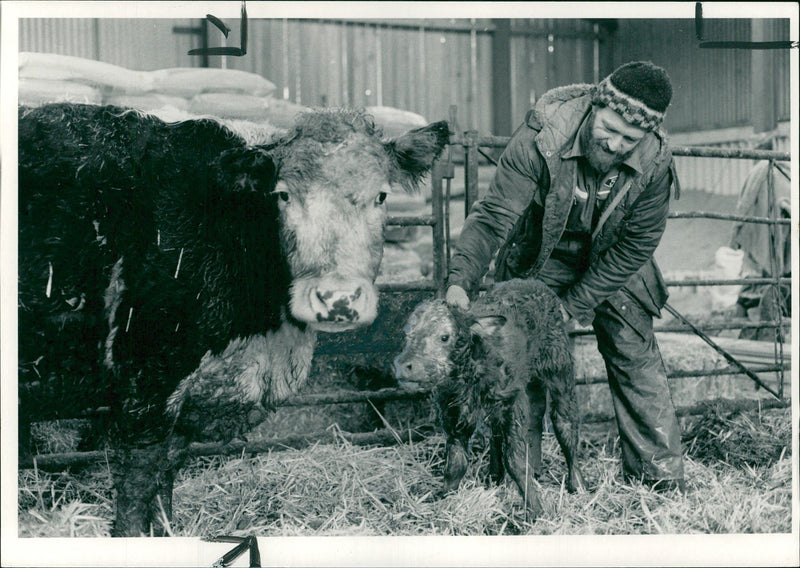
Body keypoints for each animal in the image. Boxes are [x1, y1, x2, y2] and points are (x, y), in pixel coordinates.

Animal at [17, 103, 450, 536]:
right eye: (283, 195)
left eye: (381, 195)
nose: (337, 298)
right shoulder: (147, 376)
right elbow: (138, 483)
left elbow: (165, 476)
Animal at [396, 278, 588, 520]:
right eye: (407, 335)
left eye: (444, 336)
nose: (404, 366)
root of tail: (533, 282)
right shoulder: (453, 411)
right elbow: (456, 461)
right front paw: (444, 498)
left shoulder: (512, 401)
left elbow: (515, 460)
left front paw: (535, 509)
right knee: (517, 423)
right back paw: (498, 476)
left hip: (558, 366)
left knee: (564, 420)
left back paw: (577, 483)